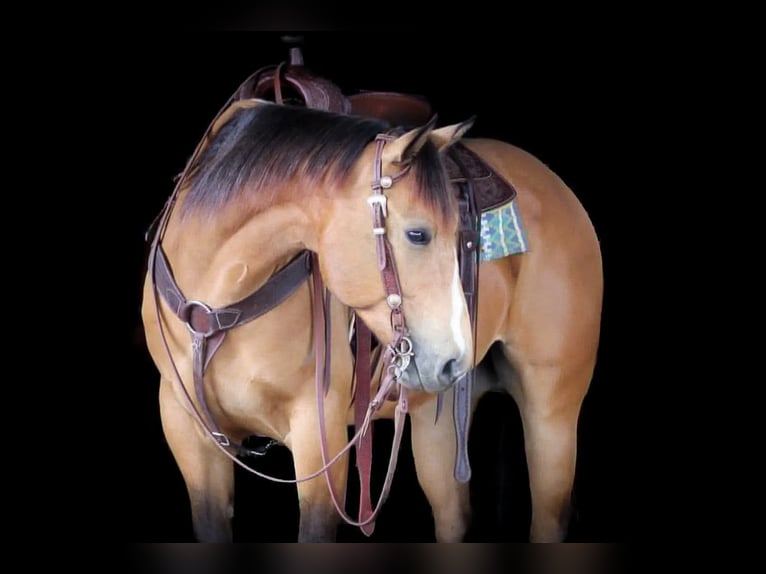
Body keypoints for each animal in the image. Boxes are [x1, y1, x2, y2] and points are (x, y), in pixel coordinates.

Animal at [141, 96, 602, 542]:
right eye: (418, 234)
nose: (453, 360)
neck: (214, 307)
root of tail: (557, 187)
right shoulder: (189, 435)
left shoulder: (318, 435)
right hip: (436, 419)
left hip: (551, 411)